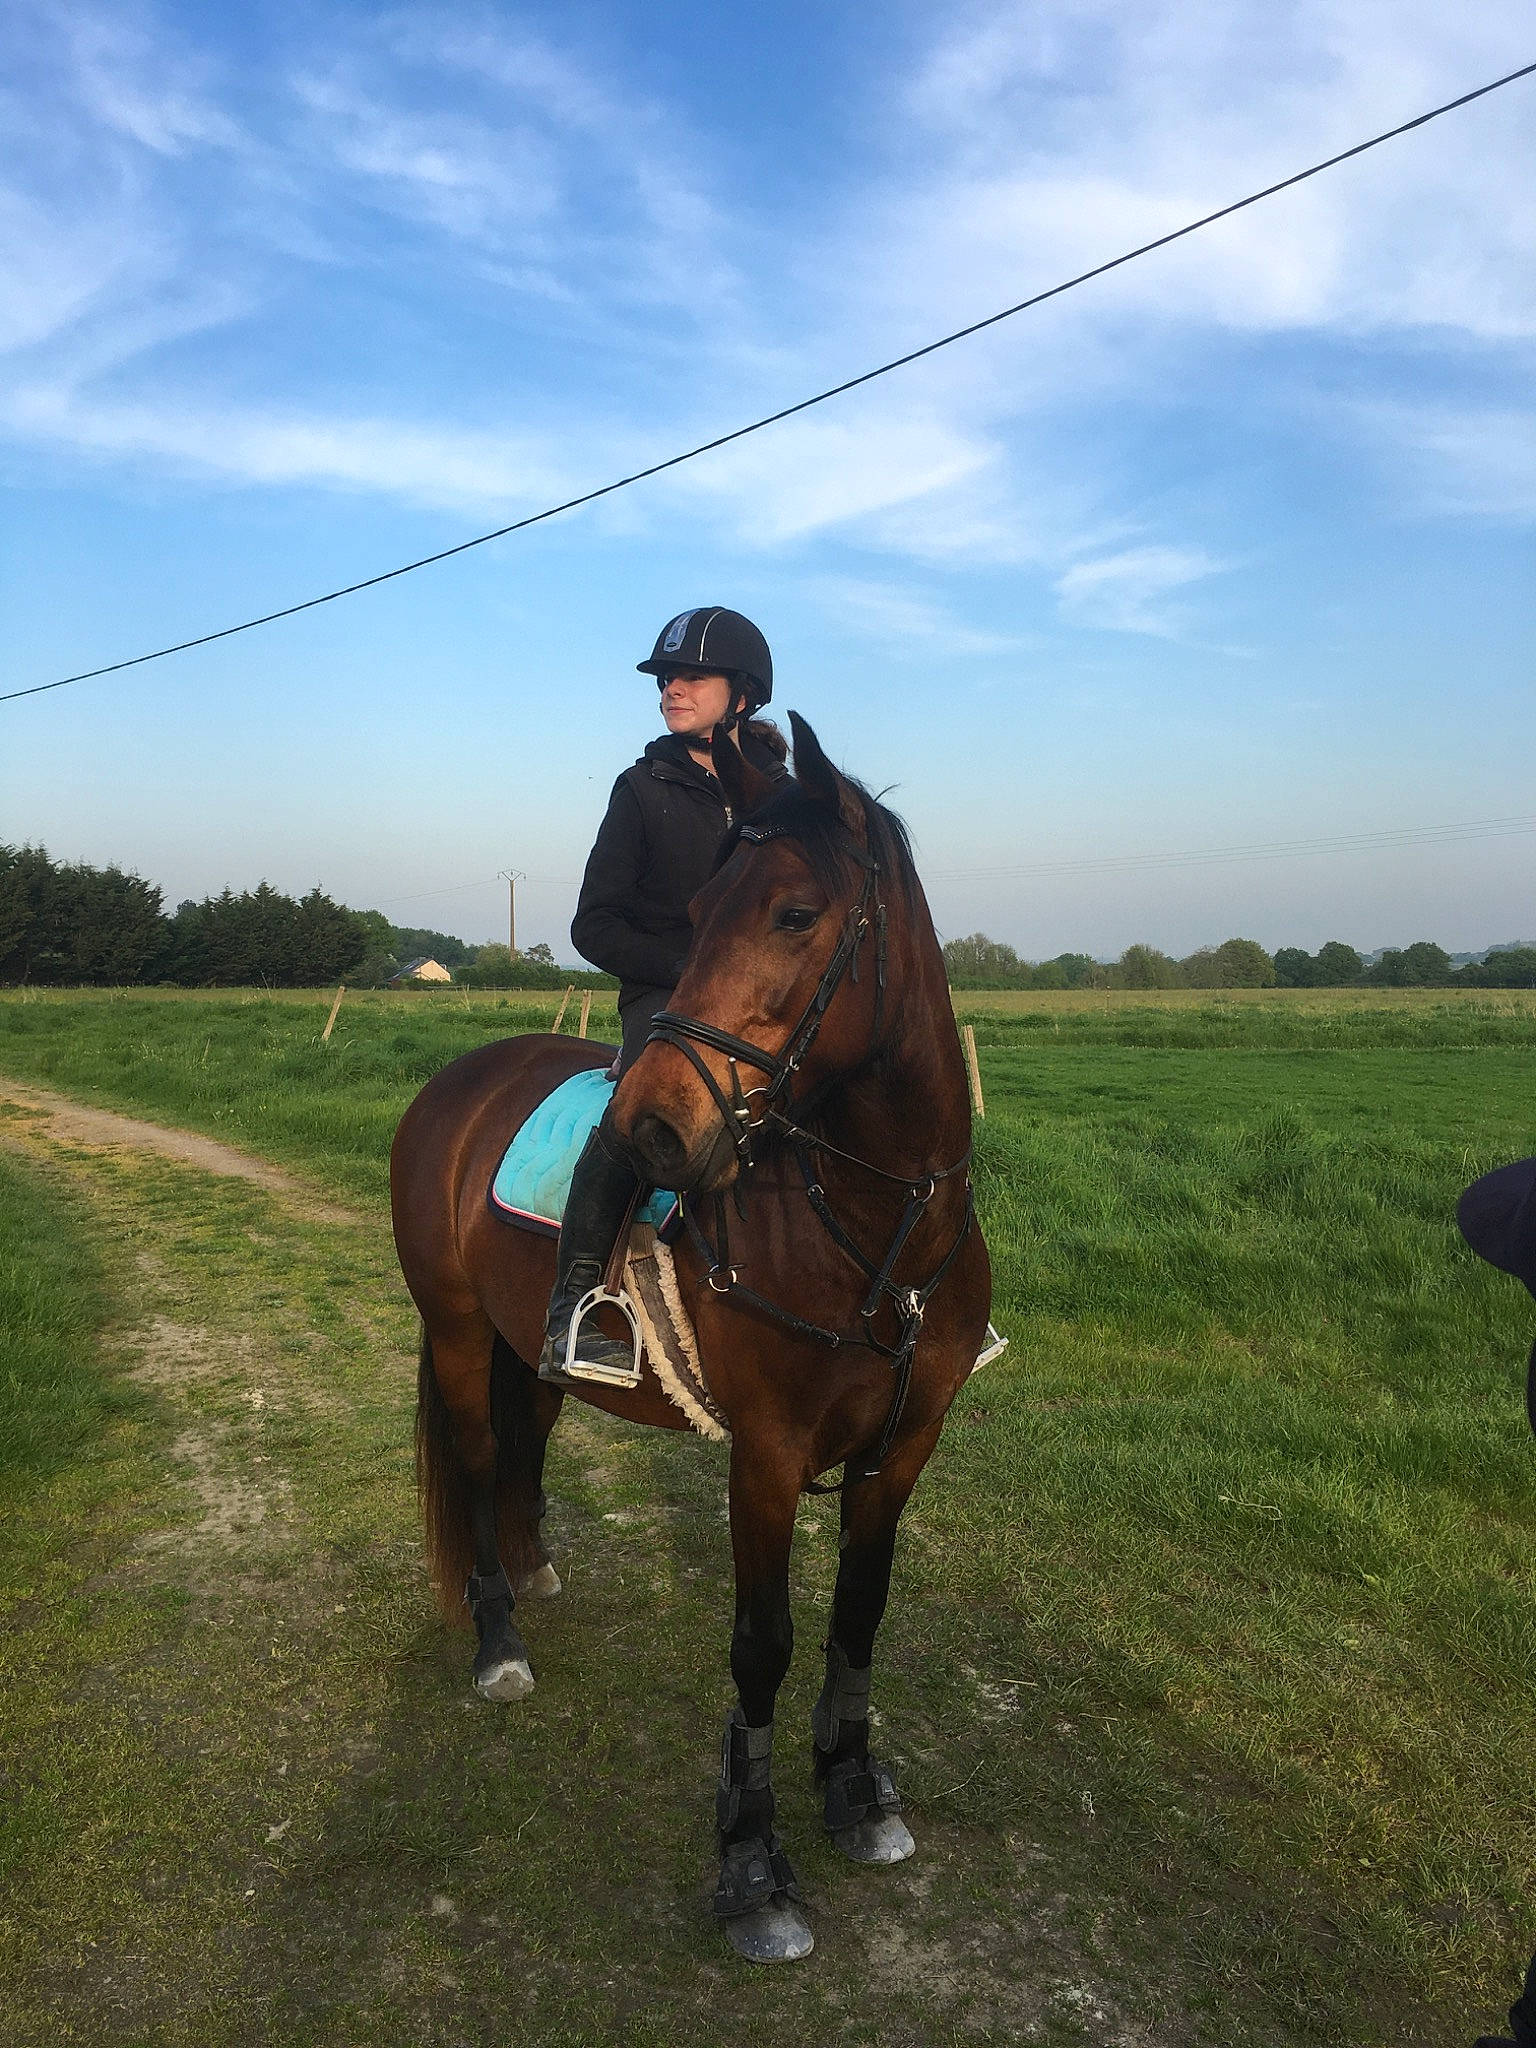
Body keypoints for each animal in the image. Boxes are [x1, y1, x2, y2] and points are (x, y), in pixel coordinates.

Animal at [390, 712, 991, 1961]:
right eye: (701, 909)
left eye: (796, 913)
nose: (652, 1129)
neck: (878, 1237)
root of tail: (456, 1084)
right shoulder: (764, 1455)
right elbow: (762, 1642)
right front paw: (753, 1865)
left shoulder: (904, 1447)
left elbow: (859, 1614)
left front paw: (854, 1790)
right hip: (460, 1330)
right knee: (475, 1455)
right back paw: (499, 1639)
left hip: (536, 1345)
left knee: (526, 1439)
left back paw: (534, 1564)